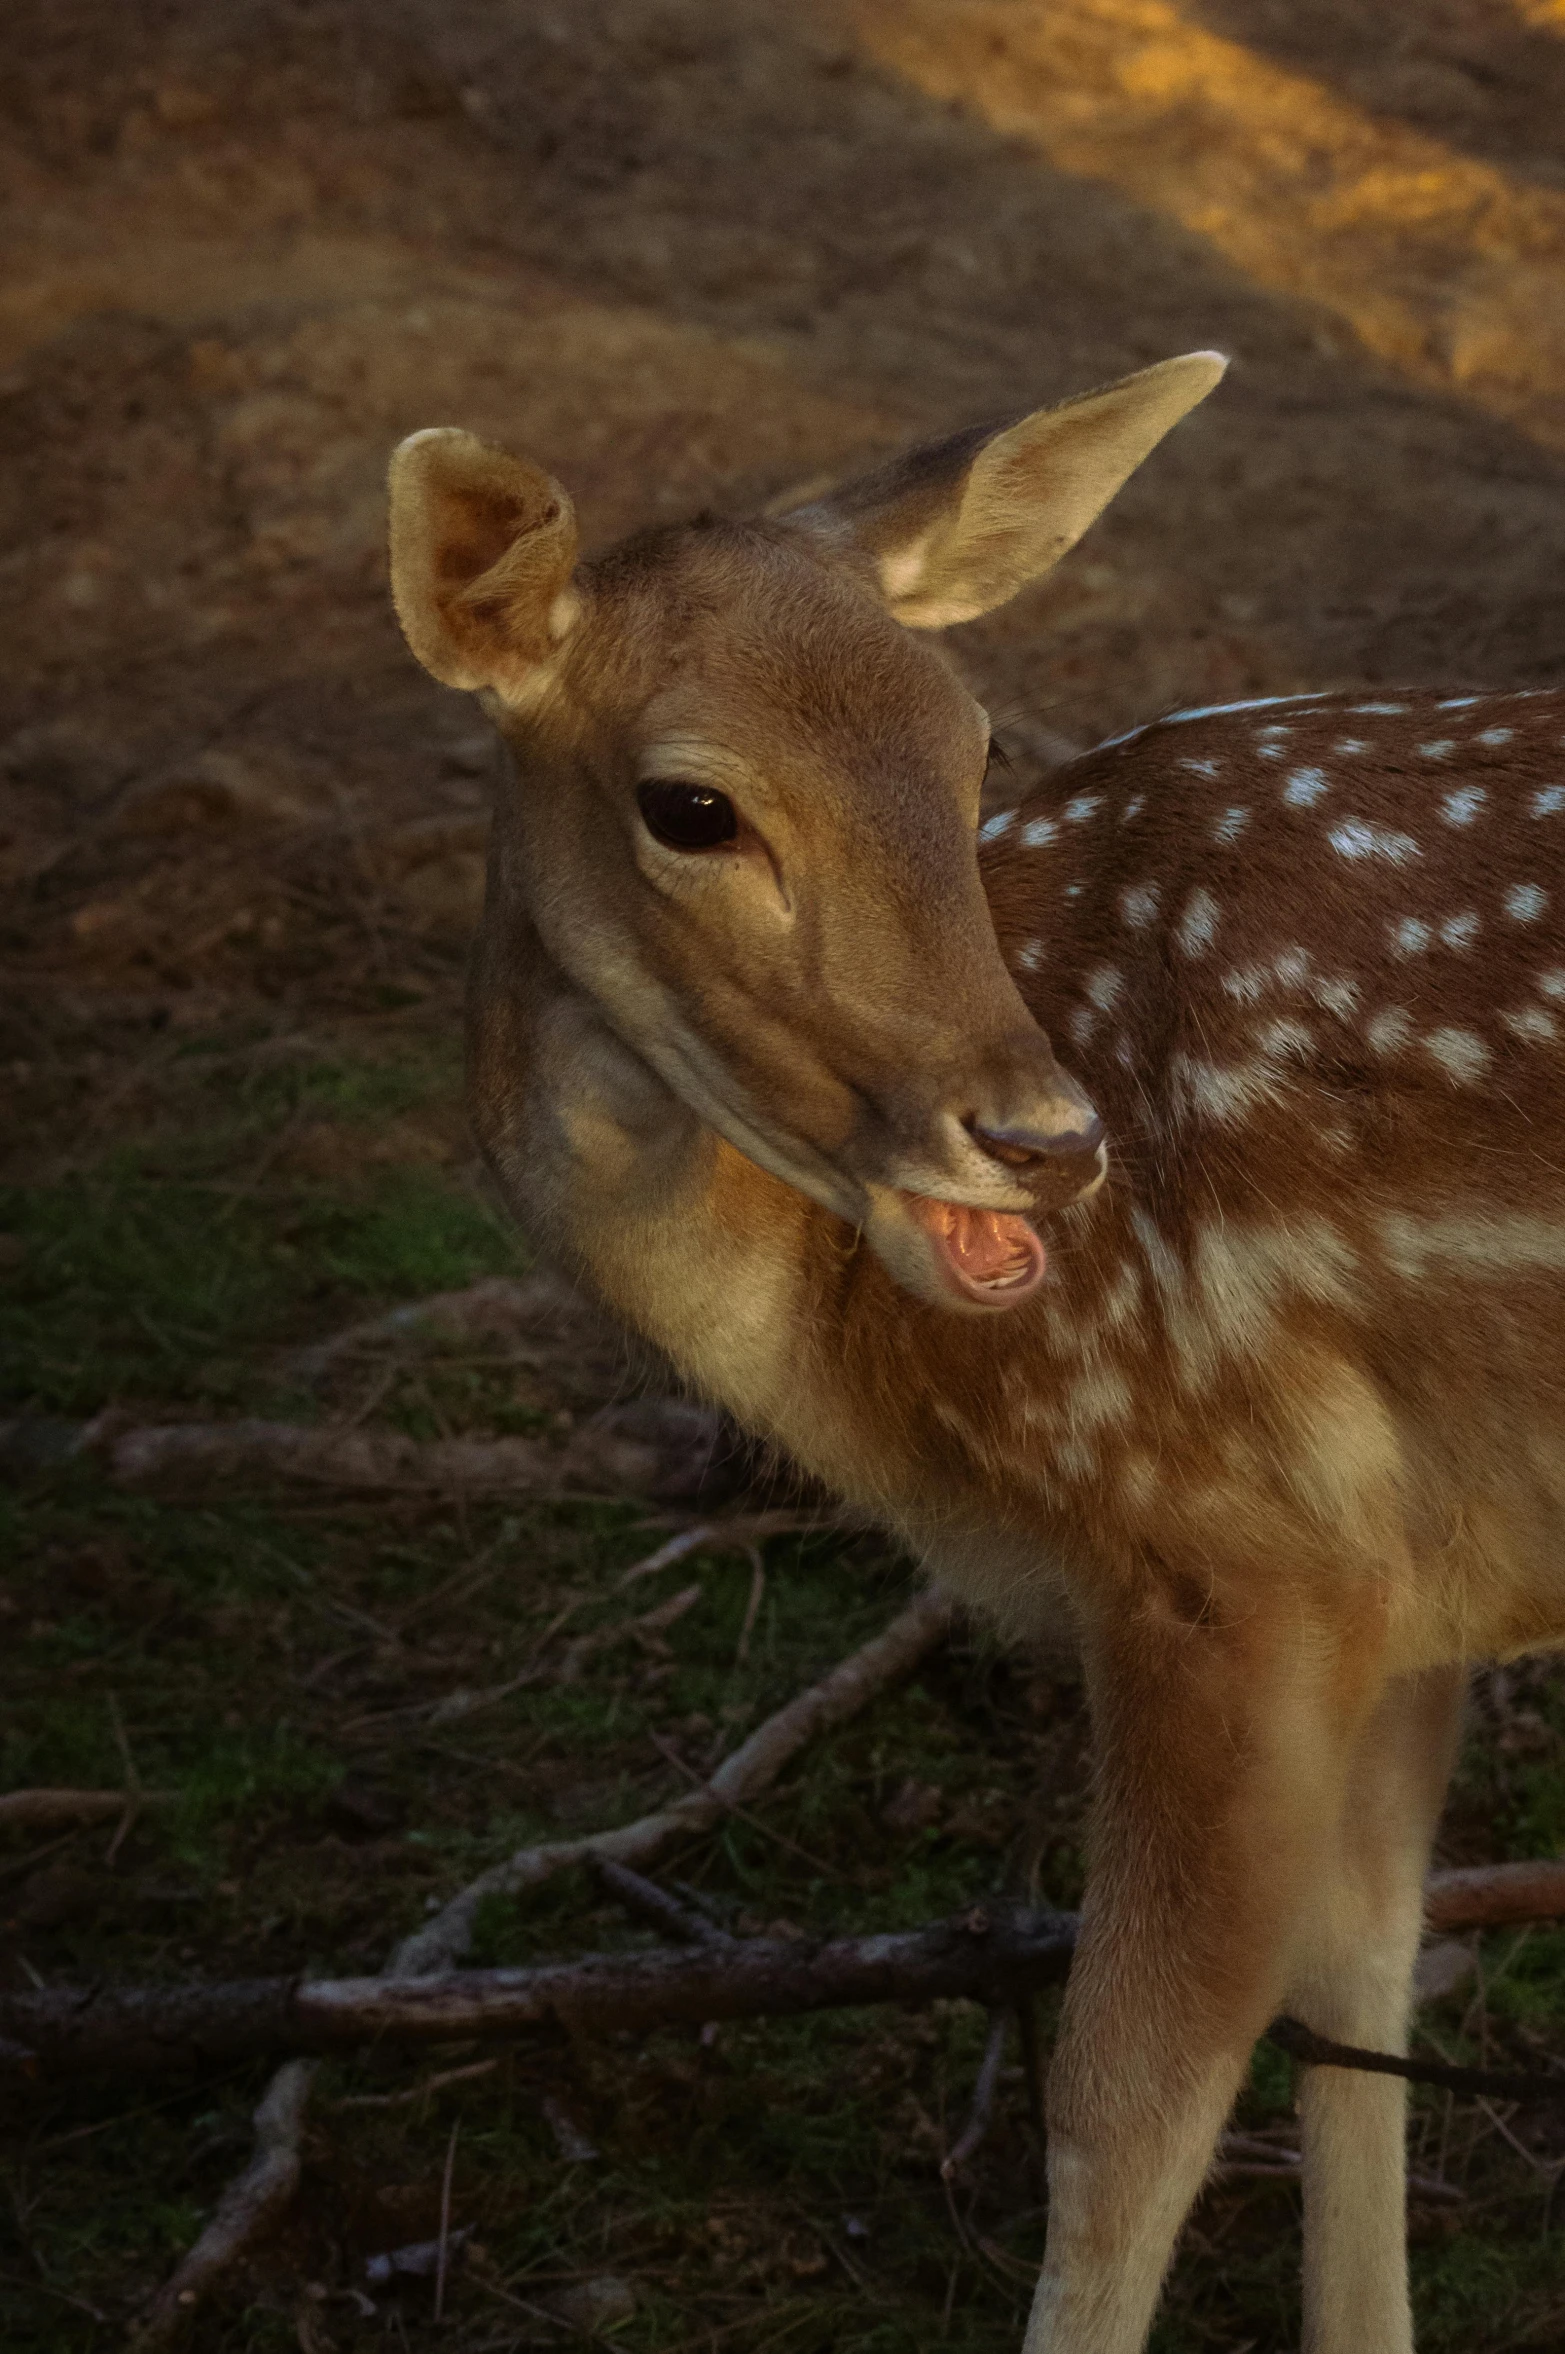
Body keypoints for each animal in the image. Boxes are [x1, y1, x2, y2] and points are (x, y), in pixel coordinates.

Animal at [383, 353, 1562, 2354]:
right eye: (689, 804)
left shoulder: (1226, 1539)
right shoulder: (1409, 1573)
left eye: (974, 744)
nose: (1040, 1137)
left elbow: (1119, 2115)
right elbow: (1362, 1988)